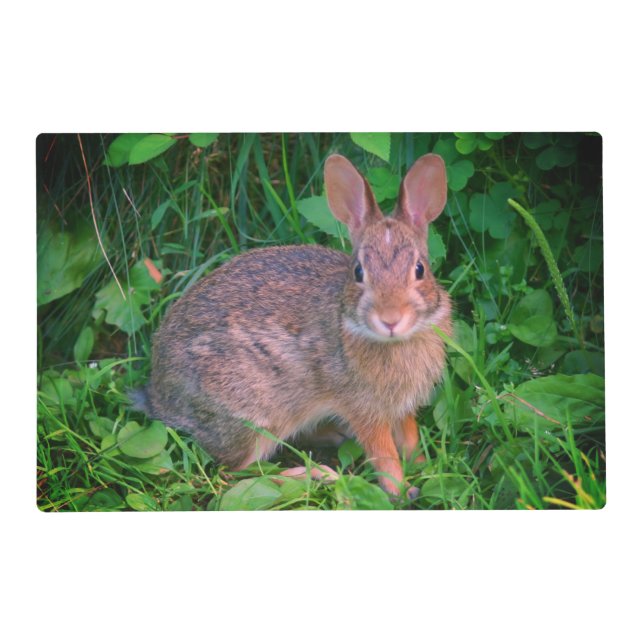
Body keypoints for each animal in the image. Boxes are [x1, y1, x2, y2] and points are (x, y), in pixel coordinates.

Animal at [132, 153, 452, 498]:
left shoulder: (402, 407)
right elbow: (384, 453)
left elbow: (409, 437)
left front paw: (425, 468)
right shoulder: (364, 409)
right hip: (254, 417)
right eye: (358, 272)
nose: (390, 319)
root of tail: (160, 396)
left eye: (419, 269)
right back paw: (316, 474)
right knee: (237, 475)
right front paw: (400, 490)